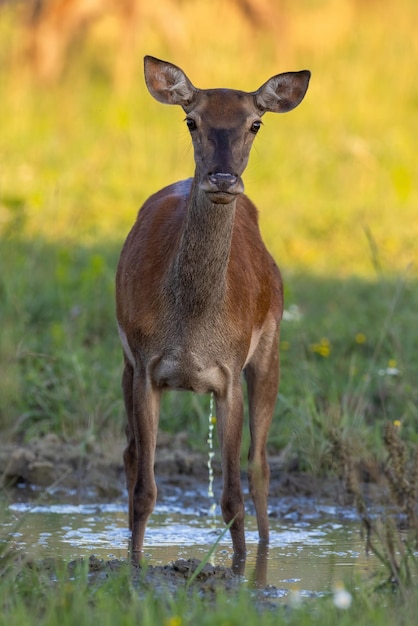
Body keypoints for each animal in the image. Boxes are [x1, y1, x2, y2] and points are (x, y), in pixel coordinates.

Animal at [115, 54, 310, 560]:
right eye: (191, 120)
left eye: (255, 123)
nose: (222, 178)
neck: (193, 325)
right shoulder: (145, 366)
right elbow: (145, 490)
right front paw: (133, 566)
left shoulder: (229, 373)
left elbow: (232, 497)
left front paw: (240, 569)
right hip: (124, 361)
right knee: (129, 455)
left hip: (271, 348)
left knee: (260, 466)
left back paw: (265, 549)